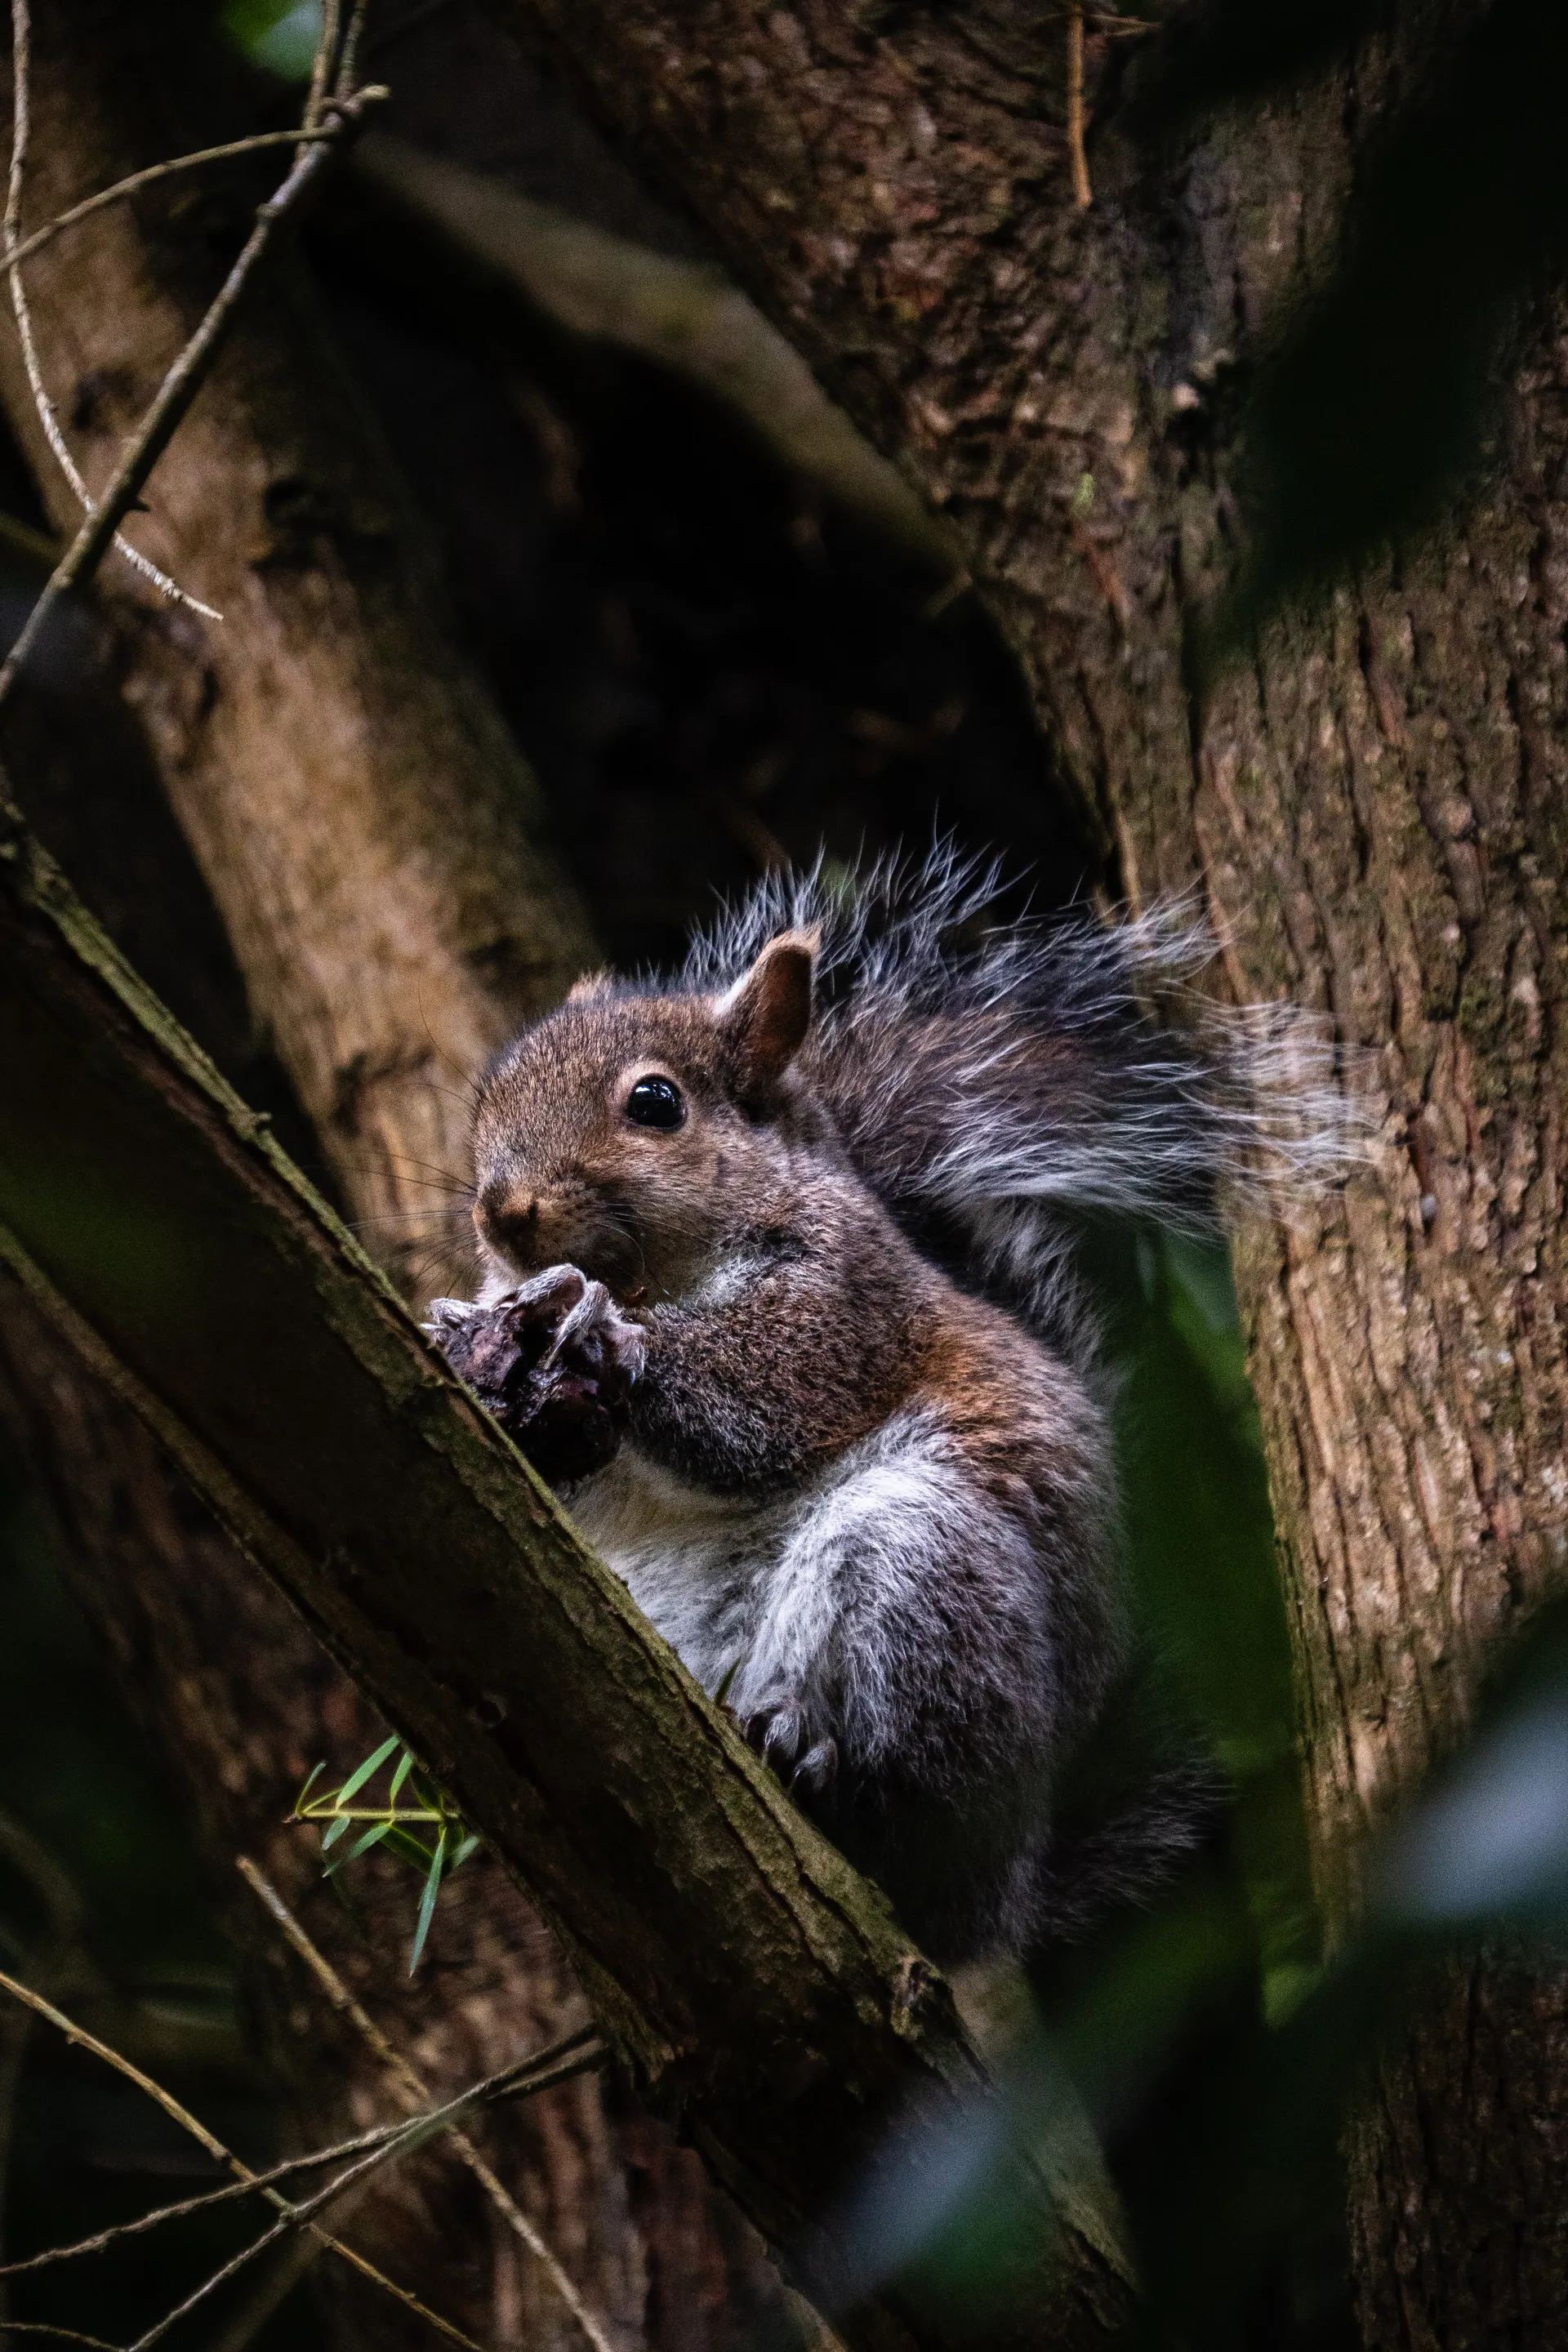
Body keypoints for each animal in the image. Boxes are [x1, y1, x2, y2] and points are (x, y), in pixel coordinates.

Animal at [427, 853, 1349, 1968]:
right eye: (488, 1094)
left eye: (655, 1102)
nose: (501, 1212)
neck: (667, 1271)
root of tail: (1008, 1891)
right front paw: (474, 1341)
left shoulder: (853, 1304)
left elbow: (766, 1400)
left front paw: (604, 1330)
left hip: (923, 1564)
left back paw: (817, 1767)